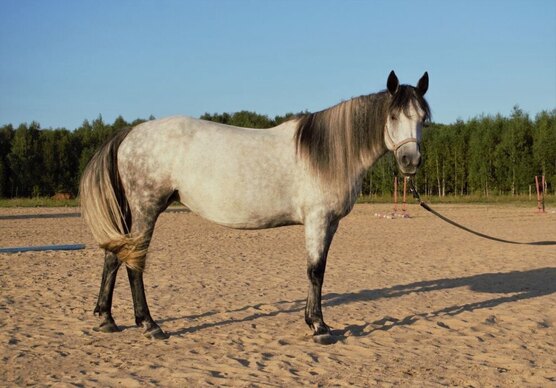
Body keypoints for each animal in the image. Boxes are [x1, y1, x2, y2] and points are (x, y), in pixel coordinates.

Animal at [80, 69, 432, 342]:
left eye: (423, 120)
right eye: (393, 116)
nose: (410, 161)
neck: (327, 152)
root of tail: (130, 133)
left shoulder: (330, 223)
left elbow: (319, 270)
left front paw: (315, 320)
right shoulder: (317, 220)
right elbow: (315, 270)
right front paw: (319, 327)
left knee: (114, 256)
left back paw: (107, 320)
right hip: (146, 209)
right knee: (133, 263)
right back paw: (150, 325)